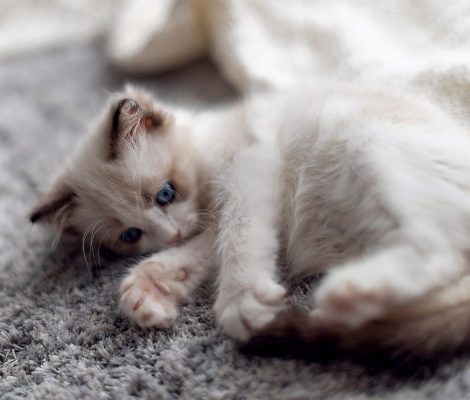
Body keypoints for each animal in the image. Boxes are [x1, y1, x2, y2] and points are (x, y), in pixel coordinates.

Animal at [32, 80, 470, 360]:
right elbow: (194, 255)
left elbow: (240, 235)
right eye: (132, 234)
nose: (171, 234)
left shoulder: (248, 168)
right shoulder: (207, 225)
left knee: (441, 248)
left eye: (165, 194)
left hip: (363, 143)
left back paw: (347, 291)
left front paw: (242, 301)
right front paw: (147, 294)